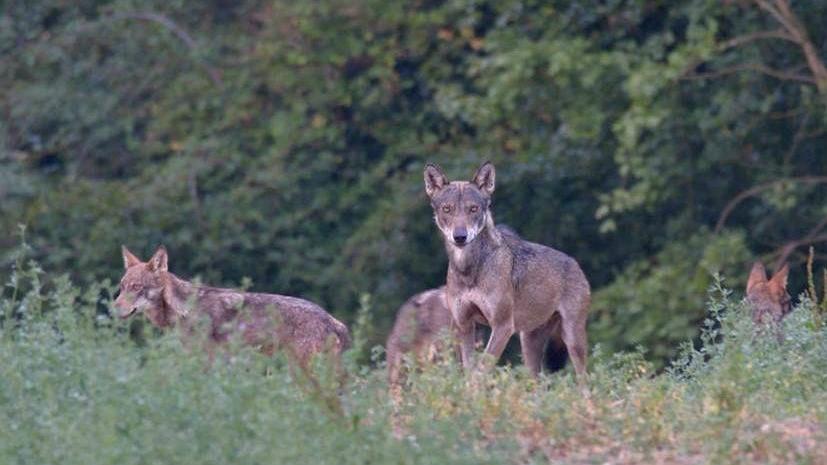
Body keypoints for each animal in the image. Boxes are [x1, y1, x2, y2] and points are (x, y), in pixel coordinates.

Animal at [423, 162, 590, 380]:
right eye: (447, 209)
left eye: (473, 209)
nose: (460, 236)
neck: (469, 272)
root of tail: (575, 264)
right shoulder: (464, 325)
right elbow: (469, 370)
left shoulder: (502, 326)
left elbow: (480, 370)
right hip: (528, 345)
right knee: (540, 381)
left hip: (572, 340)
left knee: (584, 379)